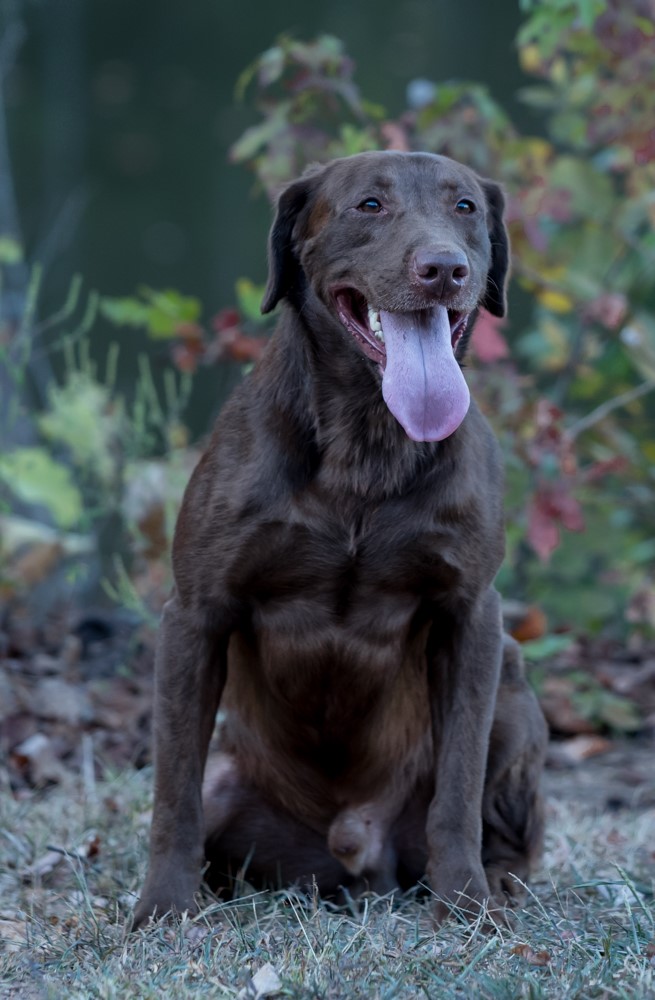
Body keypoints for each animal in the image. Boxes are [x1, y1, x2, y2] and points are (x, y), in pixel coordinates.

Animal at [135, 152, 548, 924]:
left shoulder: (471, 616)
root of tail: (359, 848)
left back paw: (501, 885)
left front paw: (464, 903)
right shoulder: (195, 615)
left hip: (509, 682)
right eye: (368, 205)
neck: (368, 439)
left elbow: (457, 786)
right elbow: (172, 790)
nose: (442, 269)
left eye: (465, 207)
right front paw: (162, 908)